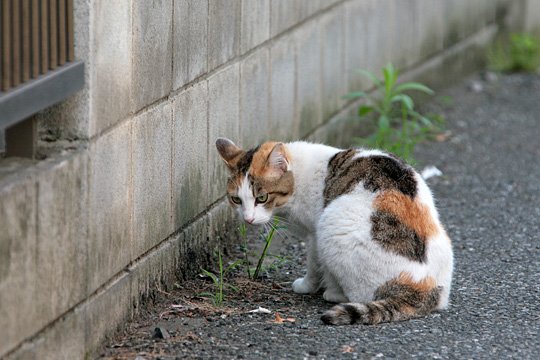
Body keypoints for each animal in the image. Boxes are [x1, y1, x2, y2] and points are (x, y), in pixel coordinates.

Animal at [215, 139, 452, 326]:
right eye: (236, 200)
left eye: (262, 198)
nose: (248, 218)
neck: (299, 176)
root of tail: (423, 287)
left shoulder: (313, 235)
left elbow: (313, 266)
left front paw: (306, 286)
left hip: (331, 227)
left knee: (358, 295)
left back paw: (333, 292)